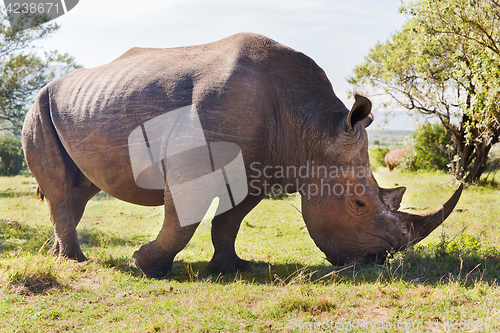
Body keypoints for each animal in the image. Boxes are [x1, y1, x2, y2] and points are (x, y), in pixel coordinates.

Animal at [22, 34, 460, 278]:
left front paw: (232, 268)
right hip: (38, 107)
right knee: (61, 188)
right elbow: (184, 219)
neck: (311, 127)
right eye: (358, 204)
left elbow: (229, 221)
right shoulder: (193, 161)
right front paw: (145, 266)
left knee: (78, 190)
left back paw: (60, 255)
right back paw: (75, 262)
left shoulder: (257, 169)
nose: (377, 260)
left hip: (74, 105)